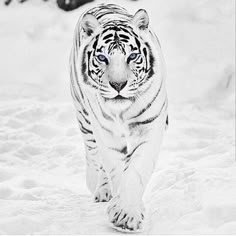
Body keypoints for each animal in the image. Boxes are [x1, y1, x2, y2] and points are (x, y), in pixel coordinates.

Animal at [70, 3, 168, 232]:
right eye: (102, 58)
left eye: (132, 57)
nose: (118, 85)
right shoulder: (106, 133)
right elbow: (115, 167)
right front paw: (124, 211)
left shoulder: (149, 127)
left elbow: (136, 170)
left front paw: (127, 214)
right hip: (85, 118)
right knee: (93, 155)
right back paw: (99, 187)